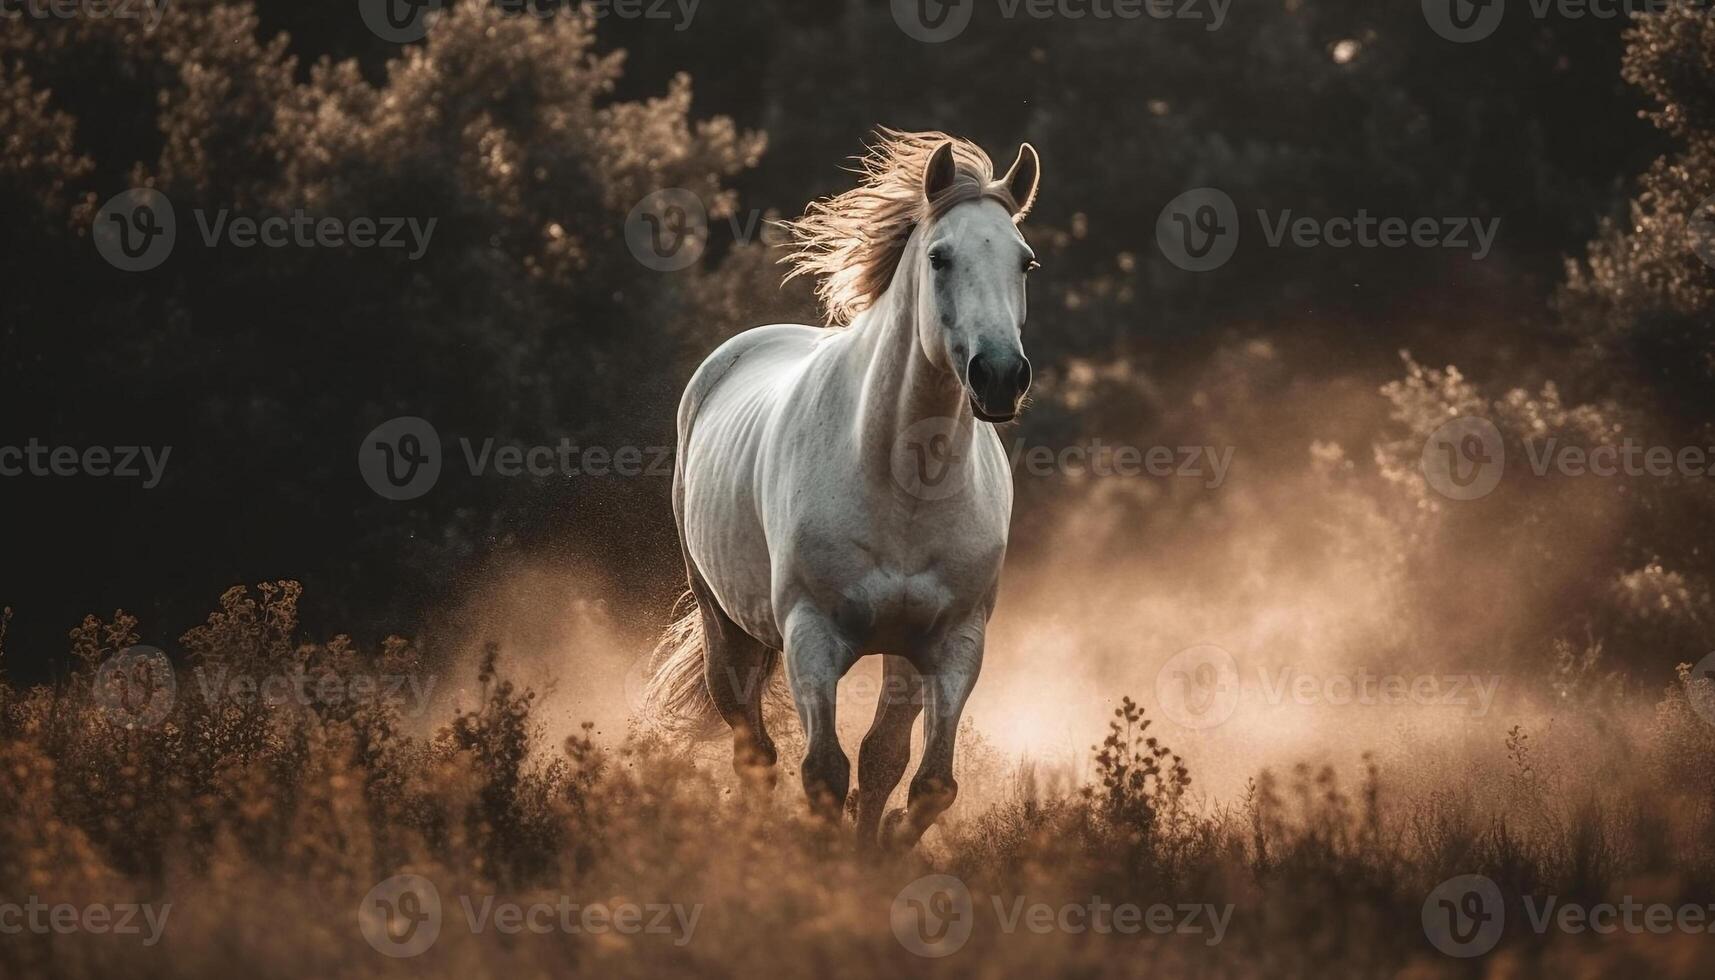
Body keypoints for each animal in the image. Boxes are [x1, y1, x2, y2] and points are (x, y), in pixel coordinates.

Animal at [644, 130, 1035, 851]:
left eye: (1024, 262)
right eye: (939, 257)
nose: (999, 376)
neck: (903, 483)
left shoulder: (950, 643)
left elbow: (917, 777)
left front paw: (879, 852)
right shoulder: (812, 636)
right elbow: (824, 771)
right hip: (725, 629)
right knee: (755, 753)